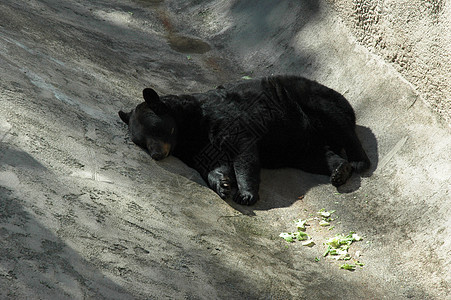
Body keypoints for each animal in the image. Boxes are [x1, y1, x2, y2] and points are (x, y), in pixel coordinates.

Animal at [119, 76, 370, 205]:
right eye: (141, 142)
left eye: (155, 129)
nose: (156, 154)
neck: (189, 129)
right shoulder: (197, 147)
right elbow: (213, 165)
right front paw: (223, 184)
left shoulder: (225, 119)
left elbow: (242, 152)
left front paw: (245, 194)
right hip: (299, 145)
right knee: (319, 155)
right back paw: (340, 170)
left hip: (309, 101)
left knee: (338, 122)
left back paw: (358, 161)